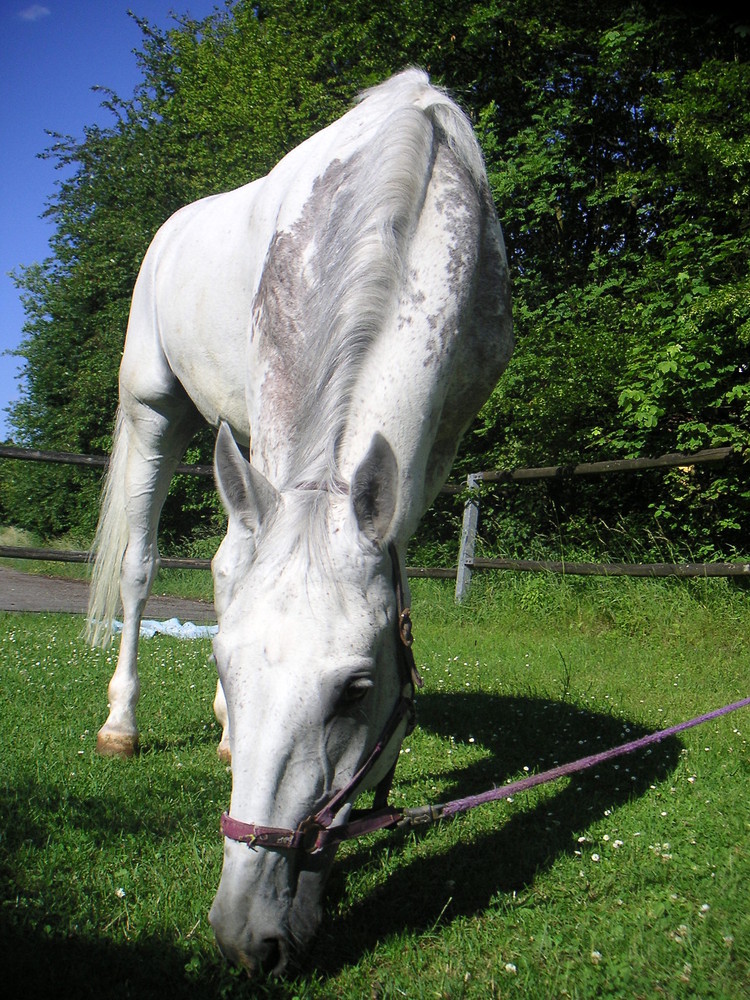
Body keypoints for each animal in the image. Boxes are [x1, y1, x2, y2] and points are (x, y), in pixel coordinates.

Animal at [86, 72, 512, 976]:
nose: (249, 936)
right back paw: (121, 726)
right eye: (222, 657)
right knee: (141, 567)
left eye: (356, 690)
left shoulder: (436, 446)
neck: (414, 185)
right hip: (157, 410)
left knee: (225, 561)